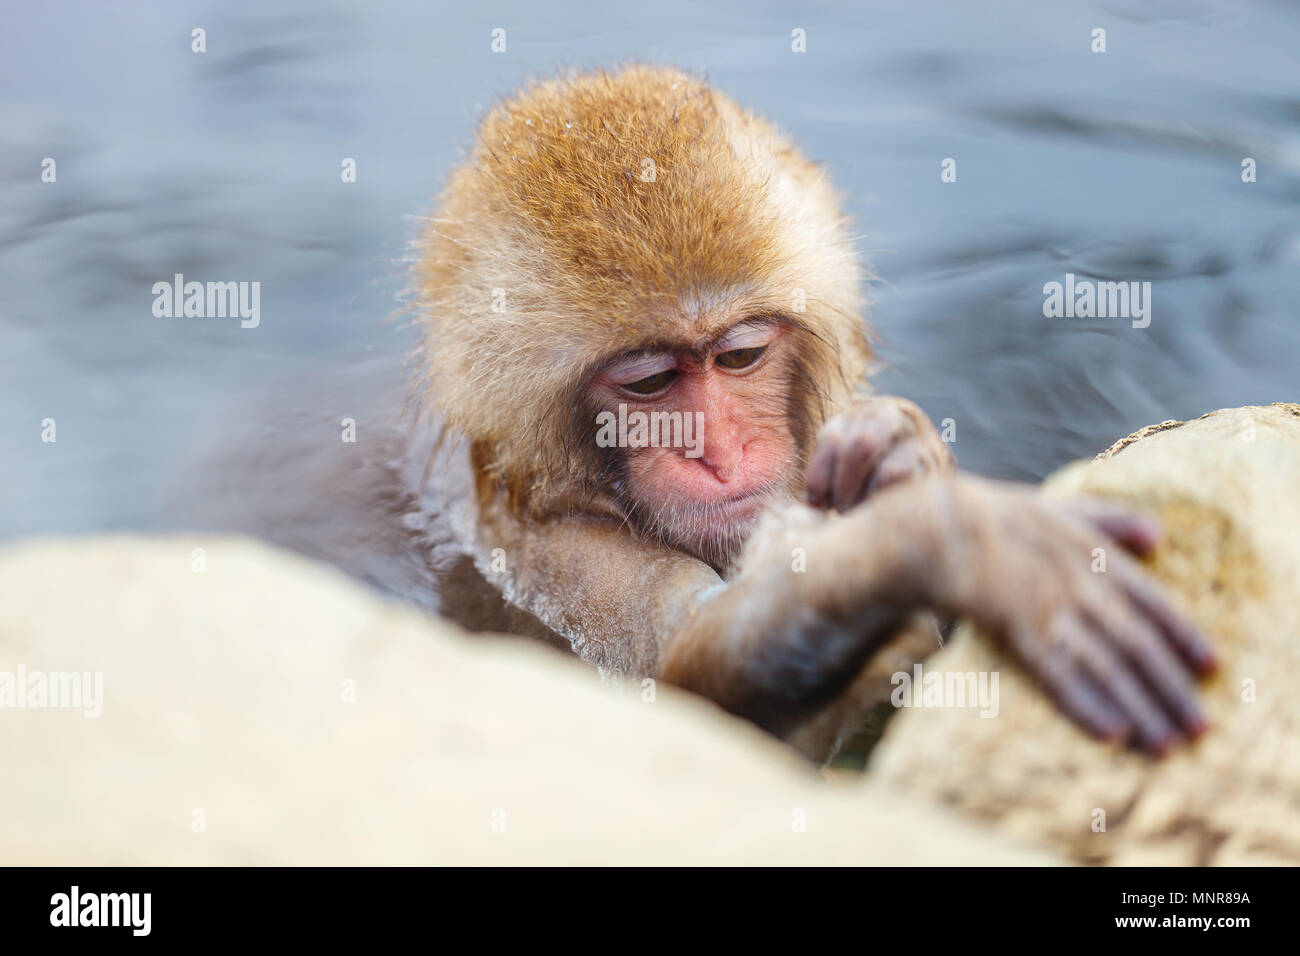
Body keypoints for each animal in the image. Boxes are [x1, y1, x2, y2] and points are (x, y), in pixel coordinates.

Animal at [410, 65, 1211, 754]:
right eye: (650, 383)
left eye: (738, 357)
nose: (723, 452)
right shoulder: (560, 553)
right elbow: (690, 665)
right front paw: (955, 538)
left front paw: (900, 453)